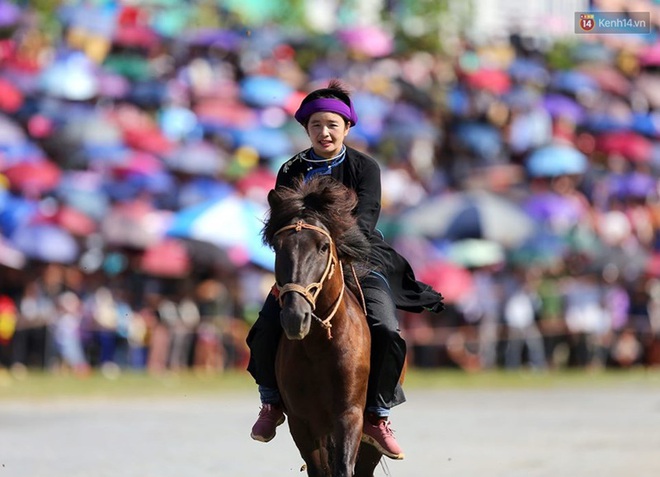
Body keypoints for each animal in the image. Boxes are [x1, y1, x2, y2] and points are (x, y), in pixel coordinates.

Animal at [262, 176, 384, 476]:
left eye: (323, 246)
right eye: (278, 246)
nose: (295, 317)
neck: (320, 345)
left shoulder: (349, 415)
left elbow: (344, 468)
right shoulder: (302, 421)